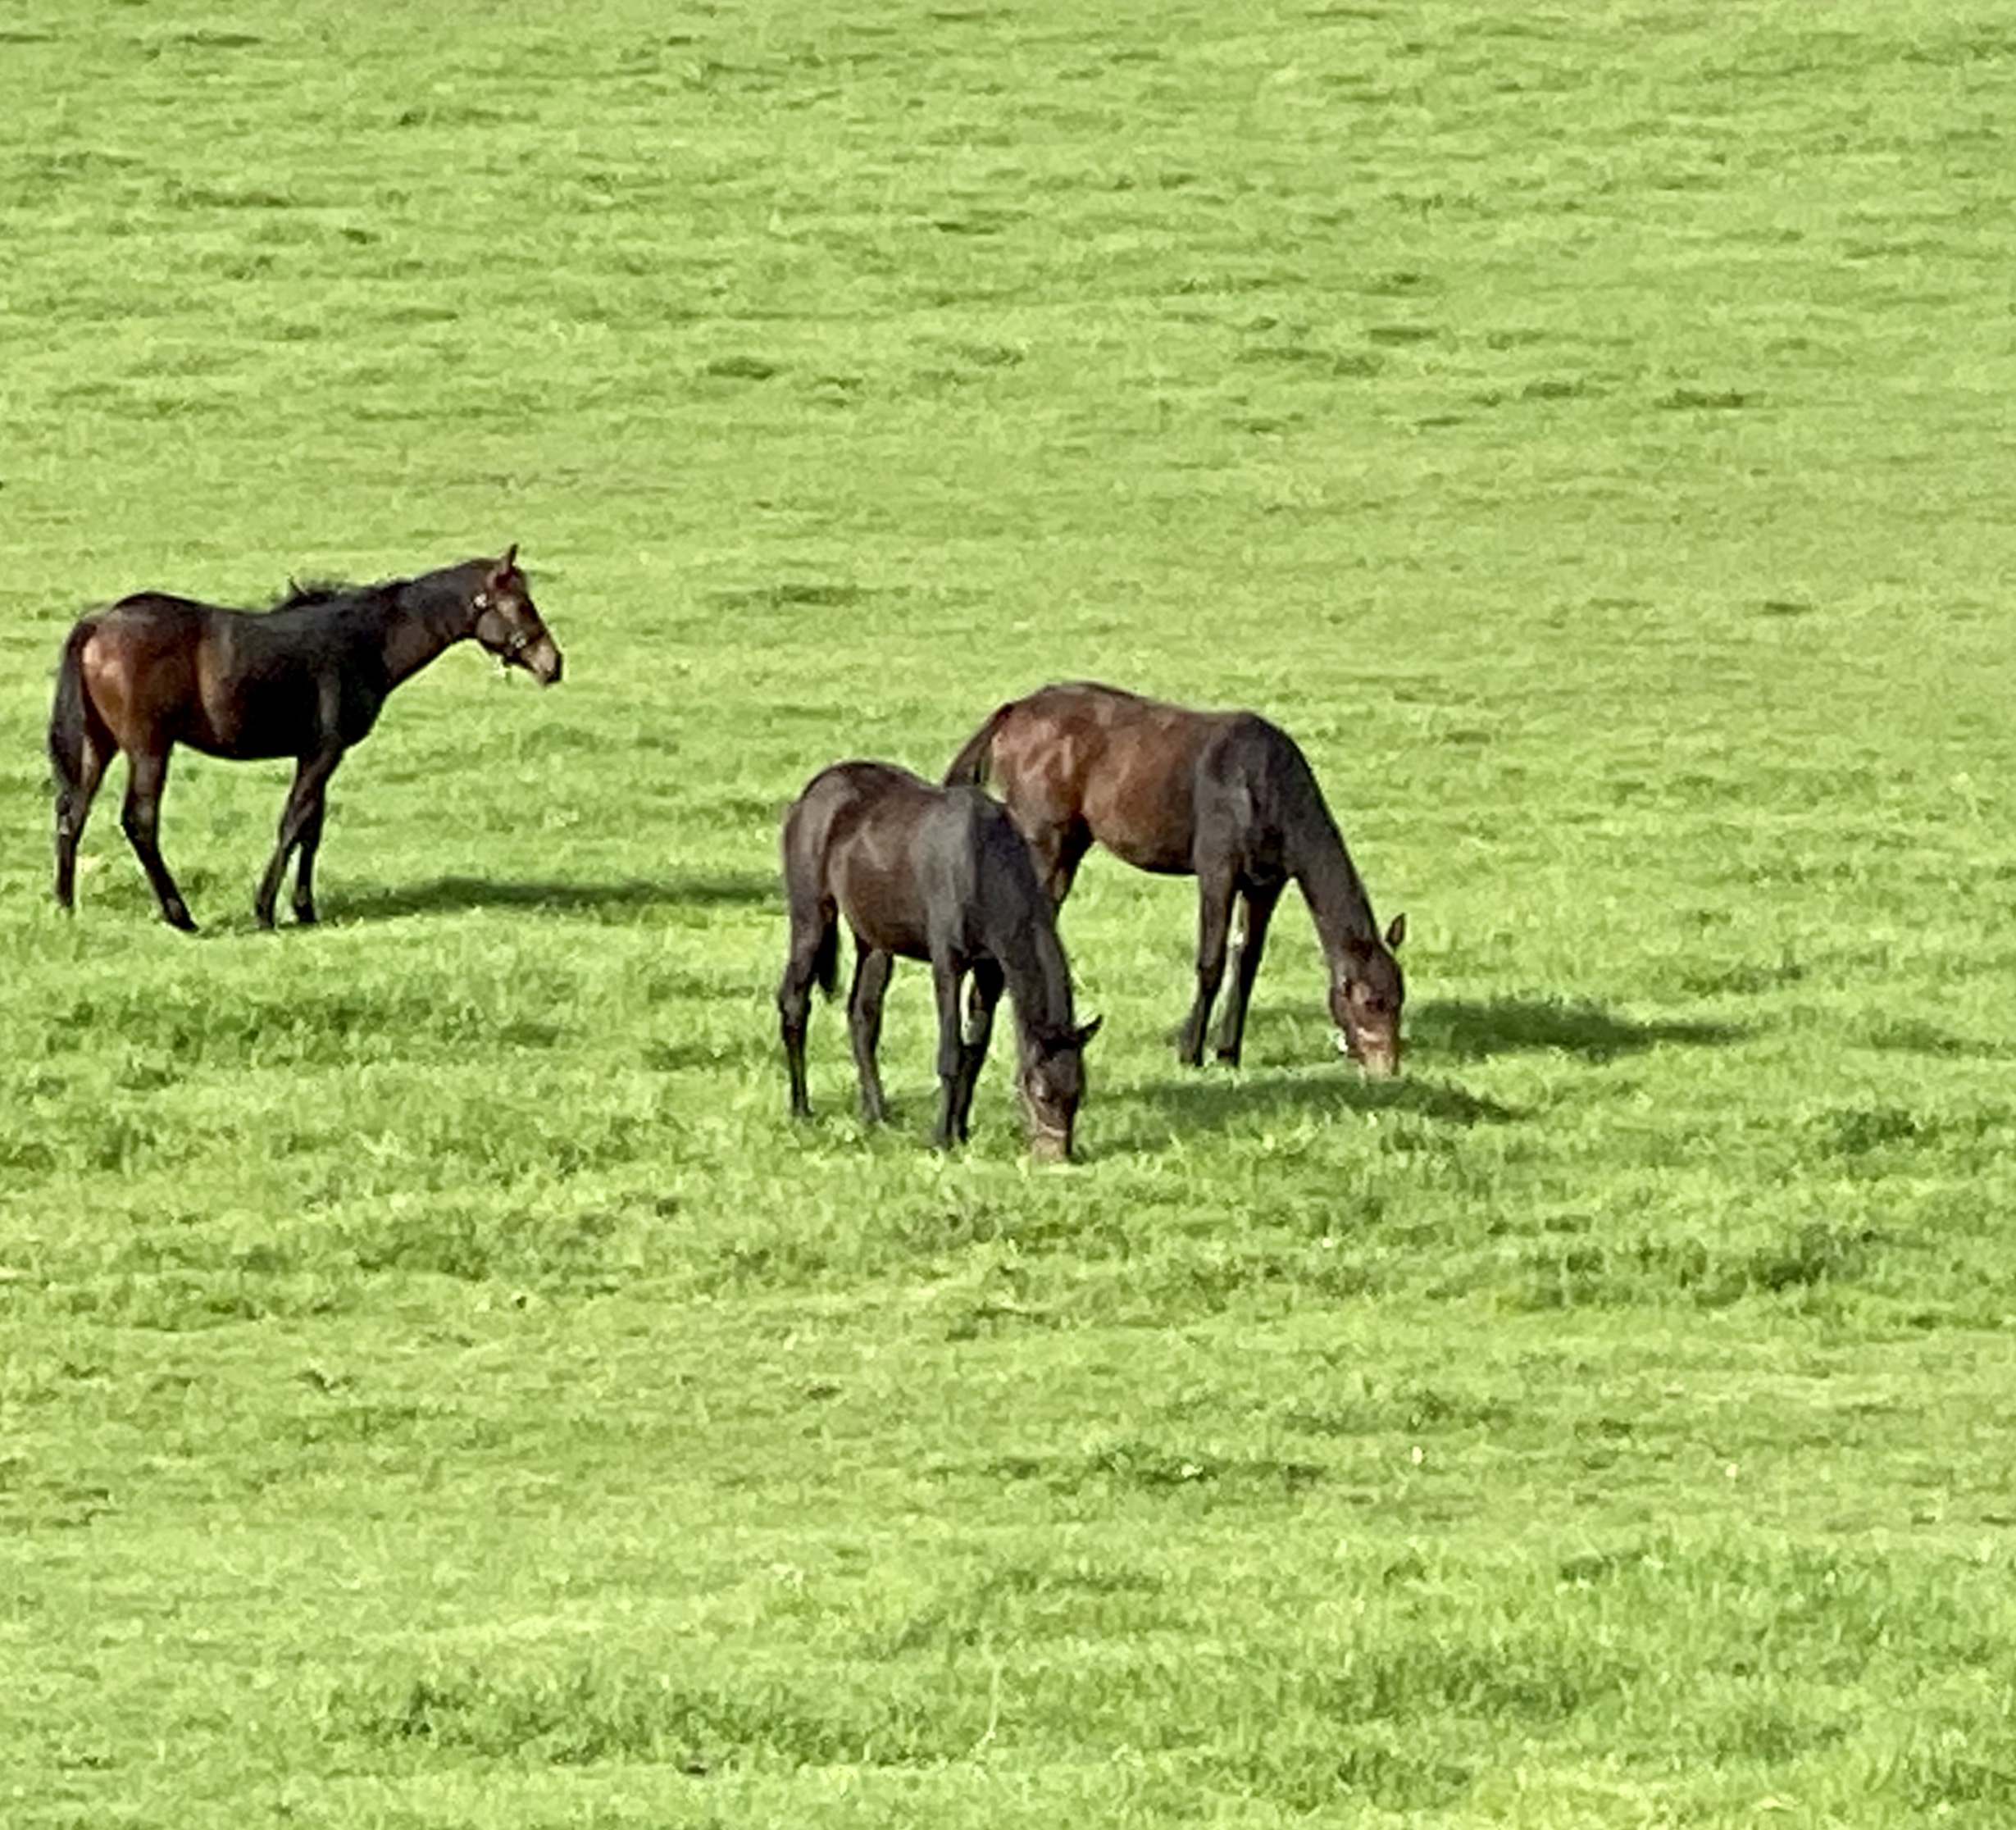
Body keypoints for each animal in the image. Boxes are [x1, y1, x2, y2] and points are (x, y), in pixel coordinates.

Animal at [48, 547, 561, 931]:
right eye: (520, 604)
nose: (553, 664)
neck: (364, 643)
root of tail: (98, 624)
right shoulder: (325, 751)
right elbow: (293, 823)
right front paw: (265, 910)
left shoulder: (313, 753)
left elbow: (312, 828)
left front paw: (305, 909)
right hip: (150, 748)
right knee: (139, 821)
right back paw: (180, 916)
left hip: (99, 744)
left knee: (72, 814)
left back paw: (65, 905)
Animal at [777, 760, 1101, 1160]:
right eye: (1041, 1093)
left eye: (1078, 1092)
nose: (1057, 1157)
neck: (982, 862)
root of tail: (813, 789)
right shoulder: (948, 962)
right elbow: (951, 1052)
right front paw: (941, 1139)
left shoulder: (991, 970)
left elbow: (975, 1051)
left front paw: (961, 1130)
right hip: (811, 917)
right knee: (794, 1002)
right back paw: (801, 1108)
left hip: (874, 939)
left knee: (862, 1015)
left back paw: (877, 1112)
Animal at [944, 681, 1405, 1075]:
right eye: (1370, 1002)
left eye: (1399, 998)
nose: (1387, 1069)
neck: (1261, 784)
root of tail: (1013, 712)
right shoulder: (1218, 869)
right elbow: (1211, 961)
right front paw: (1190, 1052)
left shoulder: (1265, 883)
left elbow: (1247, 960)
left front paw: (1228, 1053)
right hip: (1045, 840)